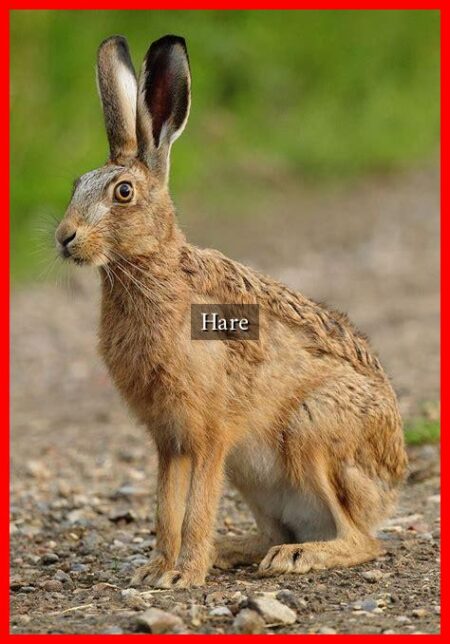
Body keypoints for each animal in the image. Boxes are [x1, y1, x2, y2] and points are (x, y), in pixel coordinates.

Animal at [55, 34, 408, 589]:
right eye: (76, 184)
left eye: (123, 192)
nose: (65, 237)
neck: (155, 270)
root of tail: (391, 482)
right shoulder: (169, 439)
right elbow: (166, 507)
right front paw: (155, 570)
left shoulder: (211, 433)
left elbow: (196, 507)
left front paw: (183, 576)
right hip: (253, 473)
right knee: (277, 532)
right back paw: (238, 551)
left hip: (312, 431)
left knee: (362, 540)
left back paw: (297, 557)